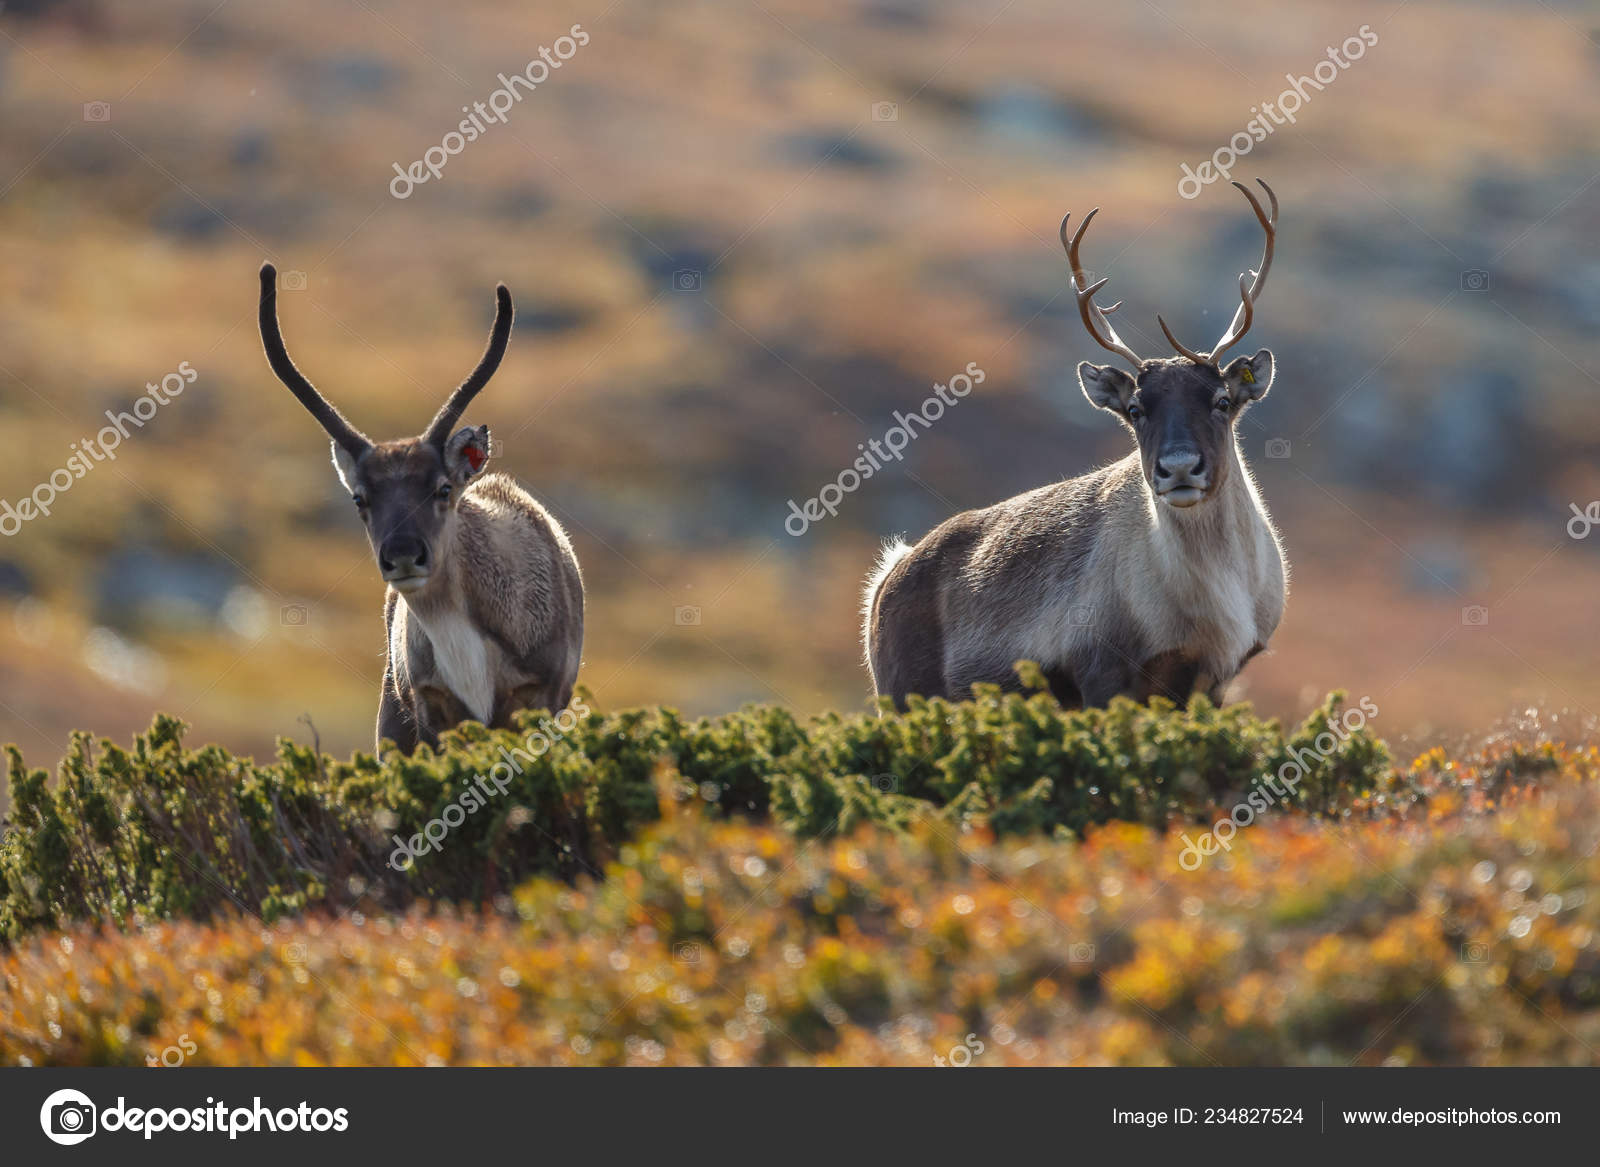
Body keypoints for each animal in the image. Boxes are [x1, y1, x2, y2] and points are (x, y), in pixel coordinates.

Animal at [258, 264, 584, 754]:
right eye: (360, 498)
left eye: (443, 488)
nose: (404, 555)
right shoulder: (429, 709)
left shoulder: (539, 695)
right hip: (390, 716)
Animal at [863, 179, 1287, 712]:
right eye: (1136, 409)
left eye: (1222, 400)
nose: (1179, 467)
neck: (1217, 594)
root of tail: (888, 576)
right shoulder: (1102, 672)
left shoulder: (1215, 679)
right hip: (902, 697)